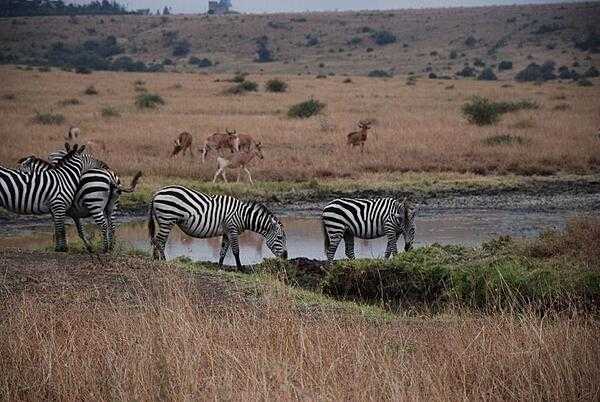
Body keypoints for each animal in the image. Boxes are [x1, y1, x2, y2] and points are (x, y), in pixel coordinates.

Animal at [150, 186, 290, 270]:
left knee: (155, 240)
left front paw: (220, 266)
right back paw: (163, 261)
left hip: (163, 221)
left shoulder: (227, 232)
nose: (285, 256)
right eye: (280, 237)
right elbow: (236, 250)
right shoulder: (232, 229)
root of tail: (156, 193)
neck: (243, 216)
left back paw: (156, 259)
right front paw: (240, 268)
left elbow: (223, 250)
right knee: (160, 241)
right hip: (167, 219)